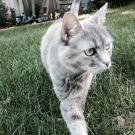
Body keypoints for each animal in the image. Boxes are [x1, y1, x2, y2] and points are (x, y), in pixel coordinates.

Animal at [40, 0, 113, 134]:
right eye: (90, 51)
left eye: (107, 46)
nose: (108, 62)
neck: (72, 72)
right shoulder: (67, 99)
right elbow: (75, 119)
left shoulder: (78, 93)